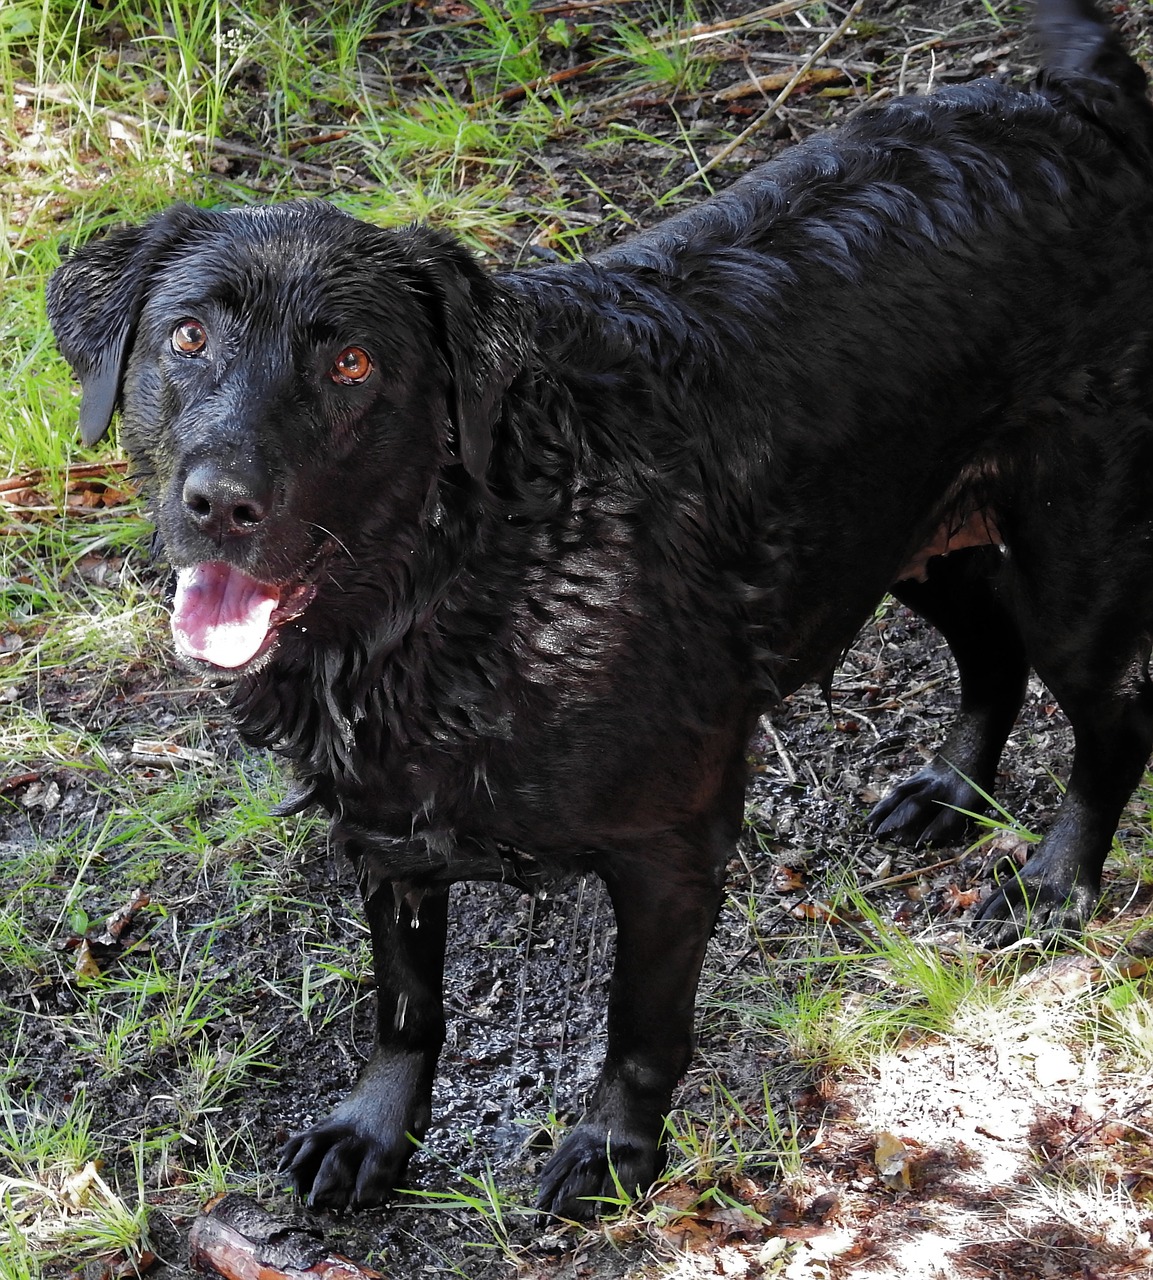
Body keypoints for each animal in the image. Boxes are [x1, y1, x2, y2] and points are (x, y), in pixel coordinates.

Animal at [45, 0, 1151, 1218]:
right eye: (187, 338)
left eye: (352, 365)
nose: (220, 503)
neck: (468, 577)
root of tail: (1072, 103)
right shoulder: (387, 824)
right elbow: (404, 1006)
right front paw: (371, 1132)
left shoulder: (674, 840)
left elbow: (639, 1026)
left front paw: (616, 1151)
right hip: (896, 528)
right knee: (990, 643)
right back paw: (951, 789)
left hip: (1069, 553)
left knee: (1112, 720)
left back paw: (1055, 882)